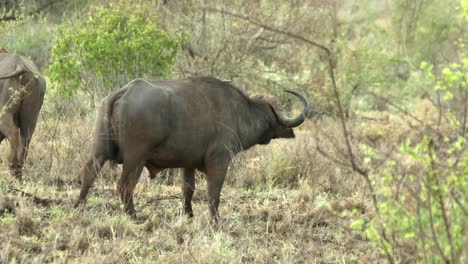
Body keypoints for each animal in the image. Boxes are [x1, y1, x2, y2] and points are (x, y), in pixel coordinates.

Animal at [76, 77, 308, 221]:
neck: (241, 112)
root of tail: (125, 90)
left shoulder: (187, 164)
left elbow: (188, 189)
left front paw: (188, 214)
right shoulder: (219, 162)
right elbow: (214, 194)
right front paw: (215, 221)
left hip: (99, 151)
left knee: (89, 173)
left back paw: (79, 206)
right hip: (136, 158)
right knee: (125, 186)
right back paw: (133, 216)